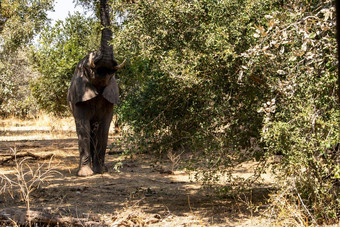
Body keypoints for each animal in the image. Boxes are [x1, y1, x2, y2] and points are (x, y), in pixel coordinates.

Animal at [67, 0, 124, 176]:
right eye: (88, 65)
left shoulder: (110, 98)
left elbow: (104, 129)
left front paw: (100, 171)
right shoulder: (79, 95)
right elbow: (83, 127)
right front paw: (85, 174)